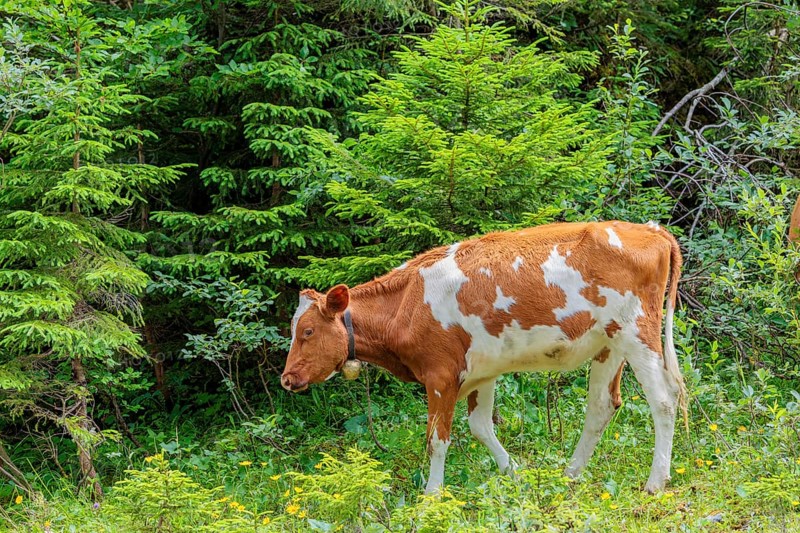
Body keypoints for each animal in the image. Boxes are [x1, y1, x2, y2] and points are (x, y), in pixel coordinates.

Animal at [281, 221, 688, 494]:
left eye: (308, 332)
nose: (287, 378)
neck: (407, 302)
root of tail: (650, 230)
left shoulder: (440, 376)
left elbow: (437, 439)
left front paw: (432, 494)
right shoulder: (482, 372)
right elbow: (480, 426)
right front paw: (515, 473)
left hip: (637, 333)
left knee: (663, 401)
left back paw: (655, 482)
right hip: (609, 343)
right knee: (602, 406)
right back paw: (571, 474)